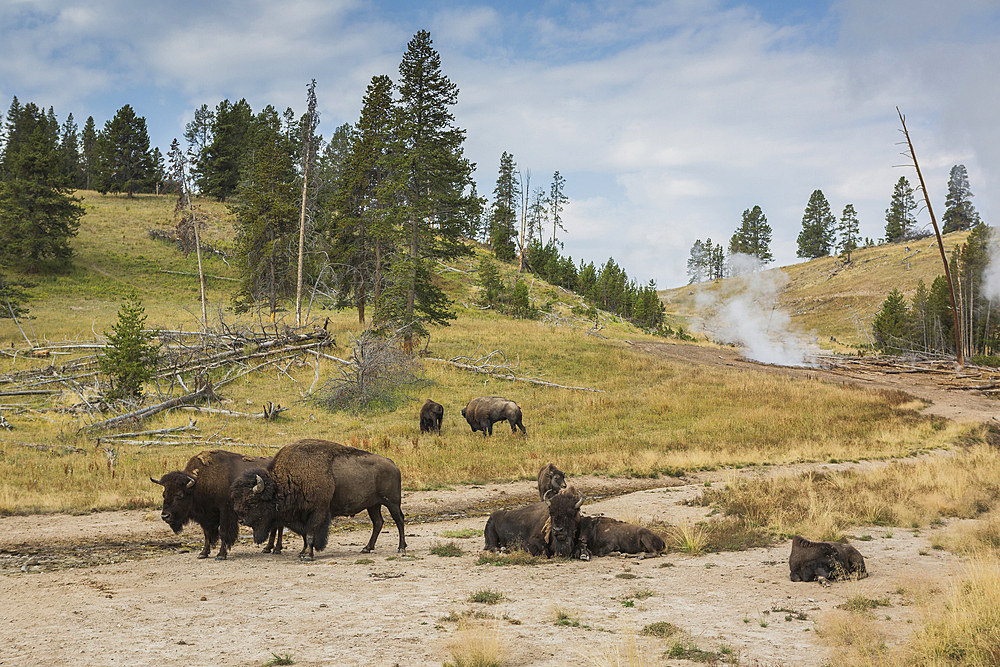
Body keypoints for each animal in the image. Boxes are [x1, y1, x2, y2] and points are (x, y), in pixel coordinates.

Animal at [152, 452, 286, 560]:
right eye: (164, 494)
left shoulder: (225, 513)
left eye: (179, 495)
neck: (199, 485)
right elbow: (207, 534)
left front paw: (221, 555)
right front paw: (203, 553)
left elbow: (223, 533)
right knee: (275, 527)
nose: (165, 516)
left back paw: (276, 549)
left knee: (279, 527)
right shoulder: (206, 517)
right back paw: (267, 548)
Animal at [230, 440, 406, 560]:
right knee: (378, 522)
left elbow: (310, 533)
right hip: (373, 505)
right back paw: (367, 548)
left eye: (252, 501)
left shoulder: (317, 511)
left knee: (399, 520)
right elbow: (304, 535)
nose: (241, 519)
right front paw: (303, 552)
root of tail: (392, 464)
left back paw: (401, 548)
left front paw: (307, 555)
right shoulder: (302, 516)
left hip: (392, 502)